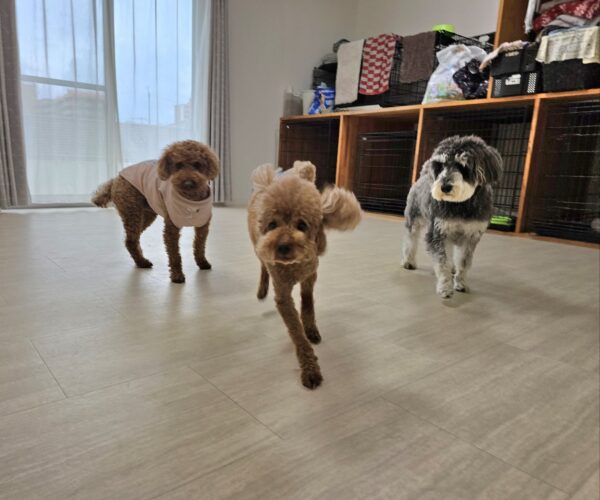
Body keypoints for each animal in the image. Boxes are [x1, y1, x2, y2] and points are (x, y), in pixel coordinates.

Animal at [92, 140, 219, 283]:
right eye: (178, 165)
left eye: (197, 165)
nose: (187, 183)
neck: (190, 199)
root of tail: (116, 178)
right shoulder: (171, 228)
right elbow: (174, 254)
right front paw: (177, 275)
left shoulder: (203, 225)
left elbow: (199, 246)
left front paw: (202, 263)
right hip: (132, 212)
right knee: (130, 240)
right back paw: (142, 262)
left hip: (147, 214)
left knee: (134, 238)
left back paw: (141, 261)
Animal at [248, 161, 362, 389]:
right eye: (272, 224)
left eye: (302, 225)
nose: (282, 246)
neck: (294, 266)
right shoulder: (283, 295)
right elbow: (296, 332)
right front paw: (310, 369)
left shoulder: (310, 276)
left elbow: (308, 304)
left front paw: (311, 328)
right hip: (258, 248)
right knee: (263, 265)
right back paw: (262, 289)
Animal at [401, 135, 503, 298]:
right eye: (441, 166)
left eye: (463, 166)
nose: (444, 187)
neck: (460, 203)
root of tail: (424, 173)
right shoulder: (438, 233)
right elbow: (442, 264)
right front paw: (445, 287)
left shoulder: (470, 237)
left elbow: (464, 263)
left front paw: (461, 284)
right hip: (414, 219)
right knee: (411, 240)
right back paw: (408, 261)